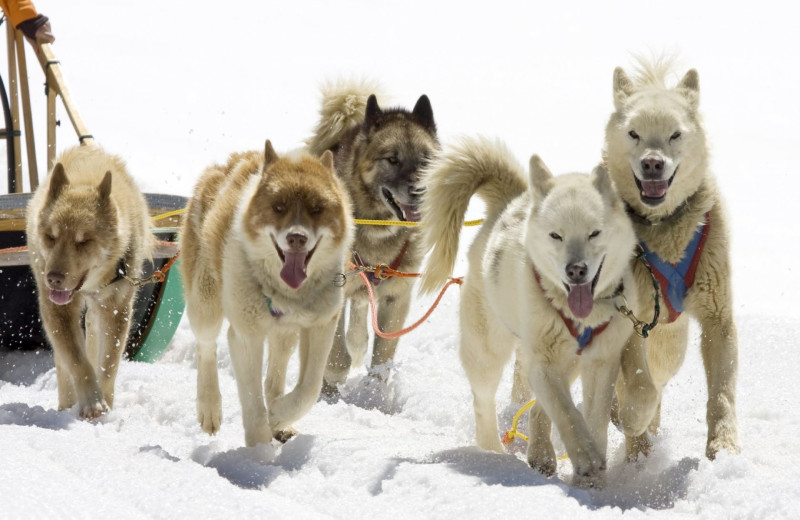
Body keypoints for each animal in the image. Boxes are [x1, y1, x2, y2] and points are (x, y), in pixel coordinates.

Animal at [27, 145, 153, 418]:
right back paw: (65, 407)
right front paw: (92, 402)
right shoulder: (58, 311)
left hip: (98, 314)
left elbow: (109, 363)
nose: (53, 278)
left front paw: (105, 405)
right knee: (64, 363)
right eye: (51, 236)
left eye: (83, 241)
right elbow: (77, 360)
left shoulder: (116, 309)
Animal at [184, 142, 354, 446]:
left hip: (285, 333)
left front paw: (279, 415)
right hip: (206, 306)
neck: (287, 293)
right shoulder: (246, 336)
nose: (296, 237)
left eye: (316, 209)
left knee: (275, 375)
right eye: (278, 207)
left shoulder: (321, 325)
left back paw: (280, 421)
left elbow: (309, 389)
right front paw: (258, 452)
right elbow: (252, 402)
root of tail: (225, 164)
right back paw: (210, 407)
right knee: (206, 347)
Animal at [418, 138, 636, 488]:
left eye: (594, 233)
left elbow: (594, 419)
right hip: (488, 351)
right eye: (556, 235)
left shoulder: (601, 362)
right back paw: (493, 453)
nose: (576, 270)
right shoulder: (544, 362)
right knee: (484, 402)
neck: (578, 316)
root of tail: (510, 202)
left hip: (568, 362)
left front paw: (593, 481)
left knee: (535, 407)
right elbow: (567, 413)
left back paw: (541, 453)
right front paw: (586, 457)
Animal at [604, 59, 740, 462]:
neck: (664, 227)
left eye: (675, 135)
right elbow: (637, 386)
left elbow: (722, 392)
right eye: (634, 133)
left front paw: (724, 446)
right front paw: (633, 418)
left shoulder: (718, 317)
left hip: (671, 347)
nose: (652, 163)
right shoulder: (630, 318)